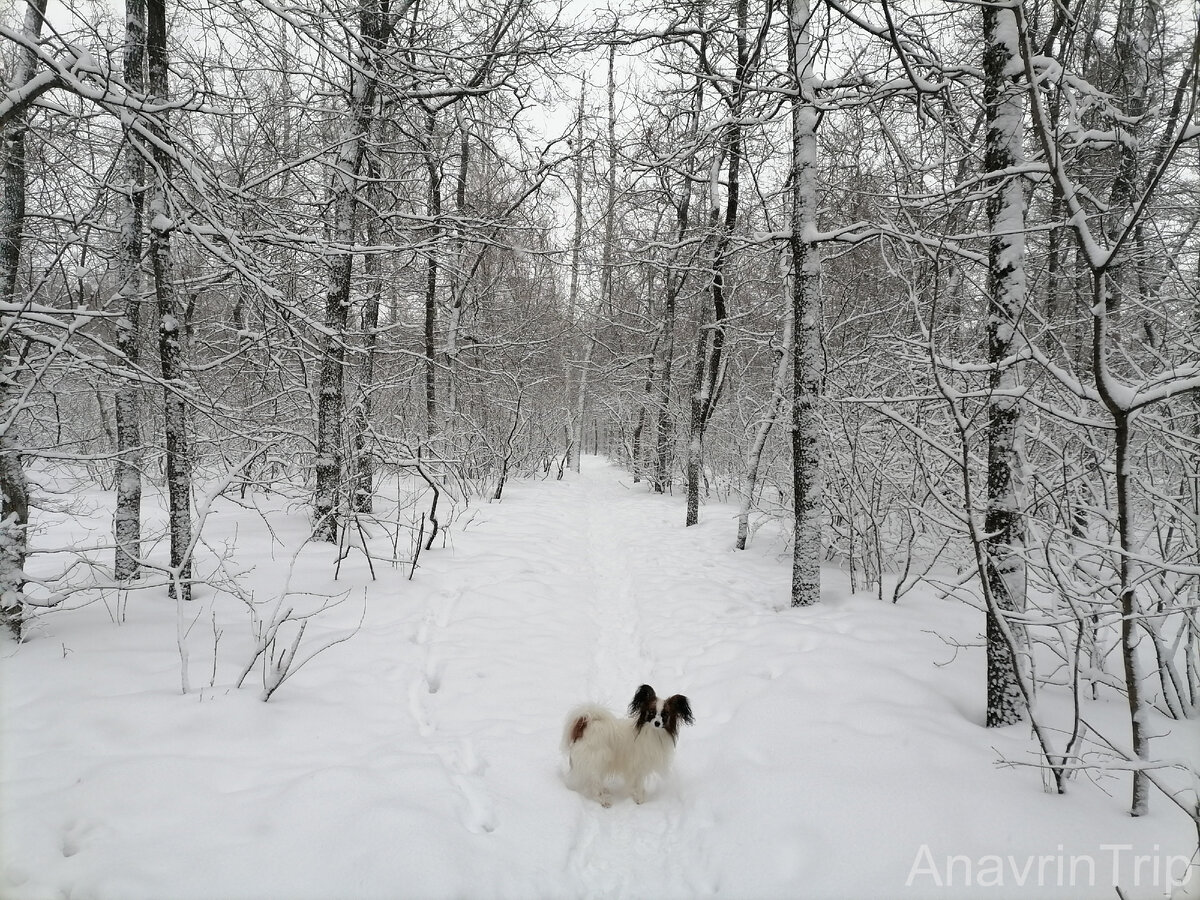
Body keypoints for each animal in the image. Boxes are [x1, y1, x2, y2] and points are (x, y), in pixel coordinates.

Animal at [561, 686, 696, 806]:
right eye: (651, 713)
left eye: (665, 715)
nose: (657, 723)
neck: (652, 733)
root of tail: (586, 725)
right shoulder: (639, 765)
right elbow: (639, 783)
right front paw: (639, 799)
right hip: (597, 759)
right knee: (594, 782)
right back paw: (603, 800)